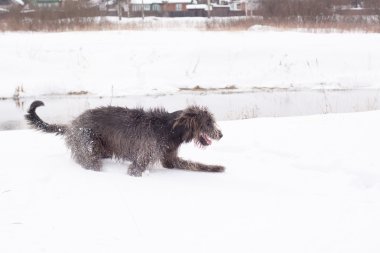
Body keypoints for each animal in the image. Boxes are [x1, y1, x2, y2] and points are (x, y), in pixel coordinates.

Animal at [25, 101, 224, 176]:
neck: (169, 129)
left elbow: (194, 164)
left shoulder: (170, 159)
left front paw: (216, 168)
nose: (221, 134)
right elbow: (135, 170)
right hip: (86, 143)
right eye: (208, 122)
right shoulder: (141, 159)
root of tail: (72, 124)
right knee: (90, 162)